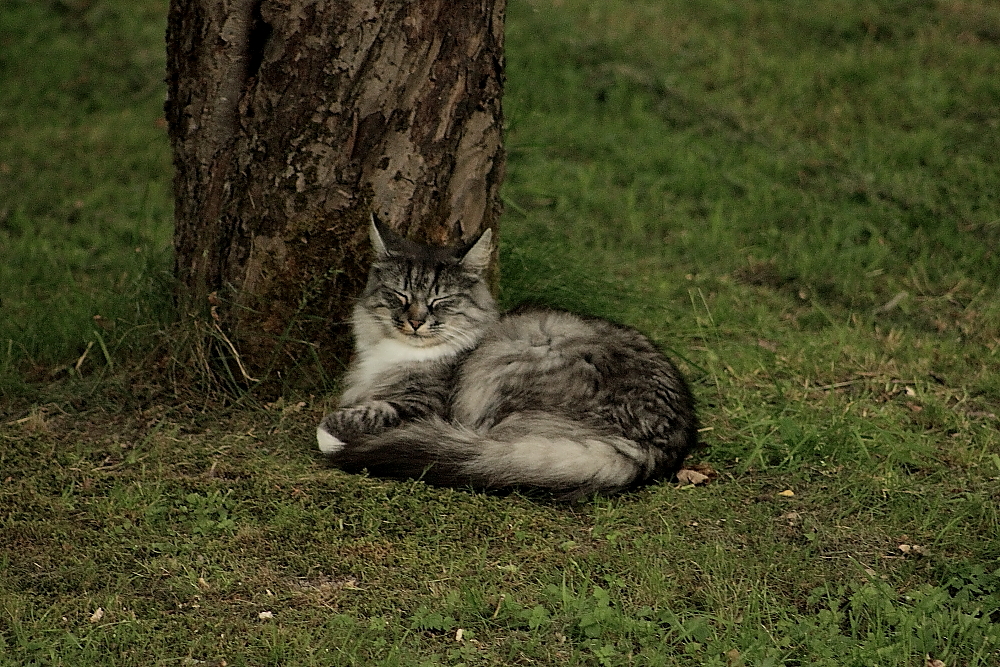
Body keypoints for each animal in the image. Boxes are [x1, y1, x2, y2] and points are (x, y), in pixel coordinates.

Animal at [316, 217, 700, 498]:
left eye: (441, 301)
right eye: (400, 296)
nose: (415, 321)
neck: (395, 352)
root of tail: (653, 448)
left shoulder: (421, 404)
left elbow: (343, 419)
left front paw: (333, 439)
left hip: (507, 371)